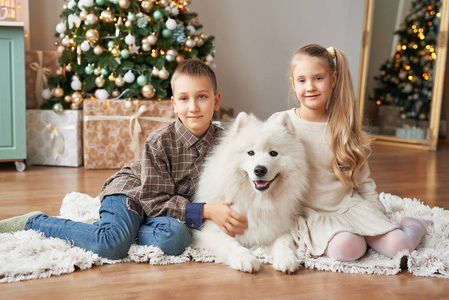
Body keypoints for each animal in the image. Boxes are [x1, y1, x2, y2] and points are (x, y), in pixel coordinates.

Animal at [189, 111, 308, 274]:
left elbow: (284, 243)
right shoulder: (210, 230)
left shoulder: (282, 228)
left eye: (273, 153)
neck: (257, 201)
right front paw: (246, 259)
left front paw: (287, 259)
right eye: (250, 153)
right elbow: (230, 244)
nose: (260, 170)